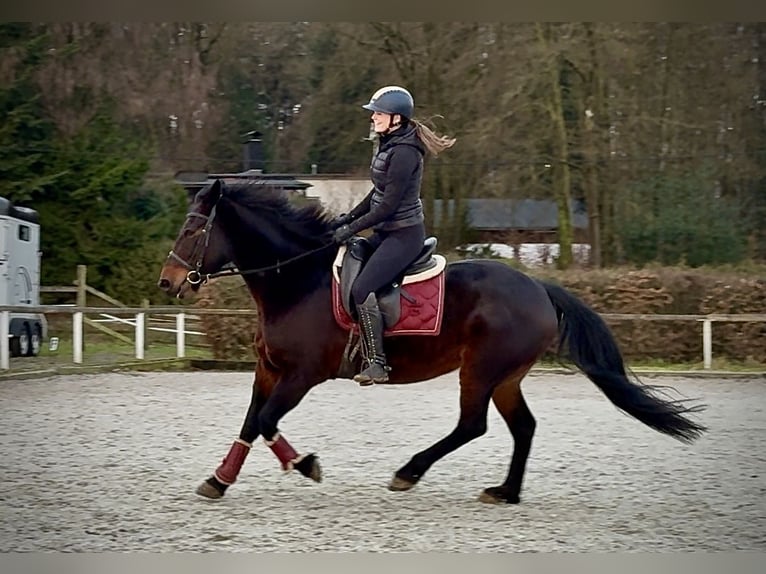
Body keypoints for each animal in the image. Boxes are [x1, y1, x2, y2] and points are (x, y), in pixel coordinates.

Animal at [157, 178, 706, 504]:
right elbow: (251, 422)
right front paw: (219, 479)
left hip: (481, 369)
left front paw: (305, 464)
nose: (167, 282)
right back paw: (505, 492)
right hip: (505, 376)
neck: (297, 280)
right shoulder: (269, 369)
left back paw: (409, 472)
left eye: (192, 229)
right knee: (522, 427)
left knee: (472, 425)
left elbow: (269, 421)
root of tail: (537, 286)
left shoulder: (302, 375)